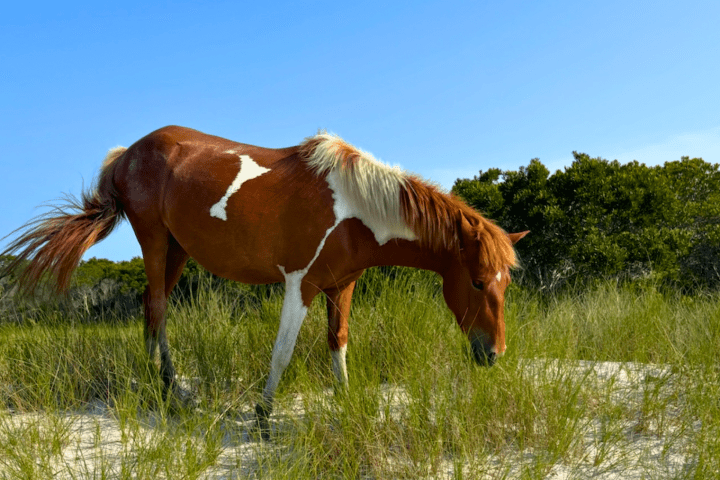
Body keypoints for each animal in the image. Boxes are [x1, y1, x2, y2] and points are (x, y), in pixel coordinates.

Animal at [1, 125, 527, 436]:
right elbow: (283, 352)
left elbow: (338, 344)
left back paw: (169, 387)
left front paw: (346, 403)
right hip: (154, 242)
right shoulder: (300, 286)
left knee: (155, 309)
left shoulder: (342, 287)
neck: (355, 207)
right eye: (478, 282)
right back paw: (164, 390)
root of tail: (126, 154)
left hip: (176, 251)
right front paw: (262, 419)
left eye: (505, 284)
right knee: (156, 309)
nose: (494, 354)